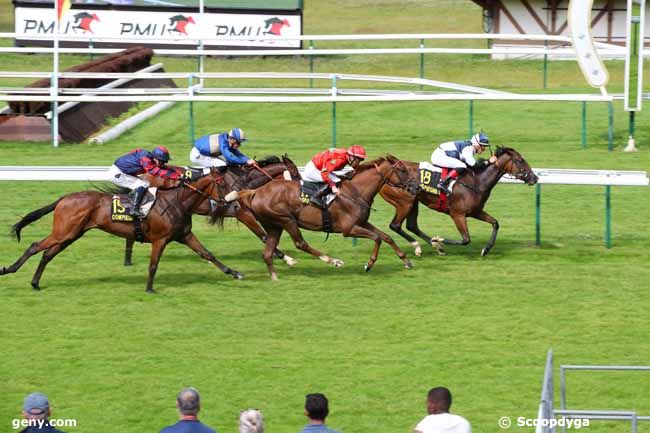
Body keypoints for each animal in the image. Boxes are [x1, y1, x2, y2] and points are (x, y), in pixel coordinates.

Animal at [0, 167, 243, 292]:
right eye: (223, 184)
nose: (236, 205)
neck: (177, 201)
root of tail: (63, 198)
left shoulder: (184, 235)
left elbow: (207, 254)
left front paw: (235, 273)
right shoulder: (160, 239)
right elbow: (153, 265)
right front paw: (149, 288)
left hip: (71, 234)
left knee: (47, 254)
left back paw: (35, 283)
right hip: (64, 232)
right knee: (35, 246)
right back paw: (9, 270)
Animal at [122, 154, 302, 264]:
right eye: (295, 174)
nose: (300, 191)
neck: (246, 181)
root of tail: (143, 174)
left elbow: (270, 234)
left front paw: (285, 256)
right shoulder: (242, 213)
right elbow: (264, 236)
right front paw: (287, 258)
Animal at [218, 155, 410, 280]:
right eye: (402, 170)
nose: (413, 186)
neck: (356, 191)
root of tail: (255, 191)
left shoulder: (363, 223)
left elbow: (386, 236)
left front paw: (406, 261)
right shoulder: (349, 229)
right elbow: (377, 238)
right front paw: (369, 264)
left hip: (274, 225)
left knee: (267, 253)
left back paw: (275, 278)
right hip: (287, 220)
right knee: (300, 243)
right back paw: (333, 261)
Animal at [378, 148, 536, 256]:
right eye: (520, 160)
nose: (535, 178)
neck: (477, 181)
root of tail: (385, 170)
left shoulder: (475, 211)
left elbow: (495, 223)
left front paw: (486, 249)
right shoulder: (457, 214)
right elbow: (466, 239)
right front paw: (439, 239)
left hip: (413, 201)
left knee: (411, 226)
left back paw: (434, 247)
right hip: (405, 202)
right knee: (395, 225)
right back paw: (423, 245)